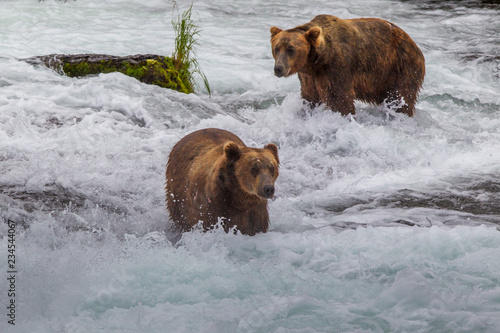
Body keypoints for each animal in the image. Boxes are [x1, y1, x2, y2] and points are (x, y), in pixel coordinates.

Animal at [270, 15, 426, 116]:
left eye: (291, 49)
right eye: (276, 48)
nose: (278, 68)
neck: (317, 62)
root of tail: (415, 45)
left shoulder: (336, 68)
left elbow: (340, 99)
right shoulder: (308, 78)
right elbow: (310, 97)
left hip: (401, 66)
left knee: (401, 97)